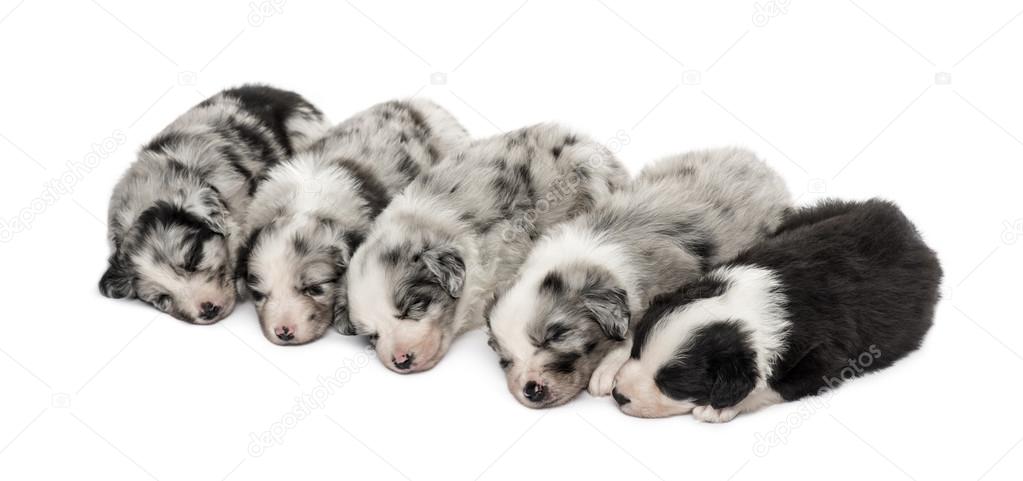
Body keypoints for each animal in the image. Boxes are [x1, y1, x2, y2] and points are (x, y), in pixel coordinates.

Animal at [486, 147, 789, 409]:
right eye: (504, 360)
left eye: (555, 336)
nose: (531, 390)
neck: (583, 253)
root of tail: (757, 162)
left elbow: (635, 330)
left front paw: (605, 371)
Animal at [613, 198, 941, 421]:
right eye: (637, 351)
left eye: (672, 384)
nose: (619, 395)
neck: (747, 301)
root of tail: (908, 227)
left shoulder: (826, 358)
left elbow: (775, 386)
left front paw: (718, 408)